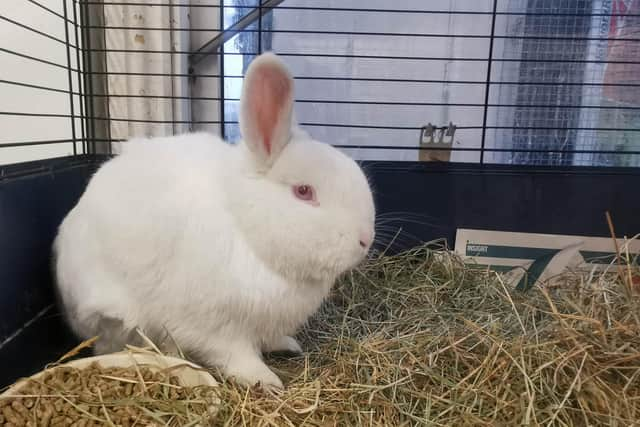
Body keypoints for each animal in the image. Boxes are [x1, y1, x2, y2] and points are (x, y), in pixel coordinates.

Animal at [55, 51, 378, 390]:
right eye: (304, 191)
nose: (365, 239)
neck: (245, 226)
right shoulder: (215, 327)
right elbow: (237, 355)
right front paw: (267, 380)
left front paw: (288, 345)